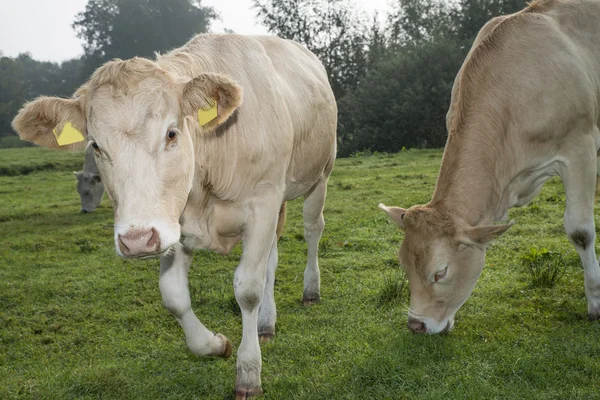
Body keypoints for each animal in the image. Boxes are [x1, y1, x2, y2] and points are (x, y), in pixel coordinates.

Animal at [11, 34, 338, 396]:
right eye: (95, 145)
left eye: (171, 133)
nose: (136, 241)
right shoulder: (173, 224)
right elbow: (174, 296)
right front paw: (215, 344)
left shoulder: (263, 201)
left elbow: (248, 289)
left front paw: (248, 373)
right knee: (273, 256)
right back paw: (266, 323)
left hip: (320, 174)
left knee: (312, 229)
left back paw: (310, 290)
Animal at [380, 0, 600, 332]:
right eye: (403, 265)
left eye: (440, 272)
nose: (416, 325)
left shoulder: (580, 148)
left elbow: (581, 231)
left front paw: (595, 302)